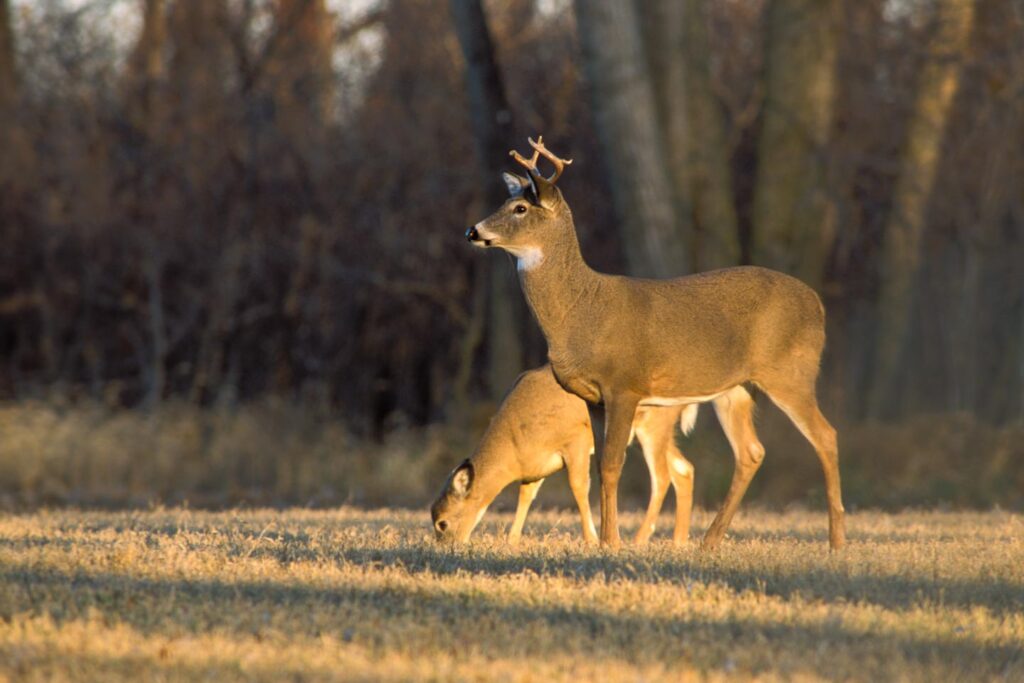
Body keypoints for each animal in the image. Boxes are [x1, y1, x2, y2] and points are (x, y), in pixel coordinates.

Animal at [428, 362, 700, 544]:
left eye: (442, 523)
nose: (449, 547)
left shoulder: (576, 439)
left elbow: (578, 486)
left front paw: (591, 540)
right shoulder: (535, 466)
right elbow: (526, 495)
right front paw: (513, 540)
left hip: (653, 425)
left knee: (662, 477)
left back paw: (639, 540)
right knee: (684, 468)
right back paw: (679, 542)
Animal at [466, 136, 847, 552]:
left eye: (519, 208)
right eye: (505, 203)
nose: (473, 231)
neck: (581, 311)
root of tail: (819, 306)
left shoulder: (624, 384)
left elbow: (613, 464)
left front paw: (611, 542)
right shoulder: (592, 398)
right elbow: (600, 464)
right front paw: (606, 539)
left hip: (789, 371)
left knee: (826, 436)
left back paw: (836, 541)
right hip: (736, 389)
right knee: (751, 452)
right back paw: (709, 540)